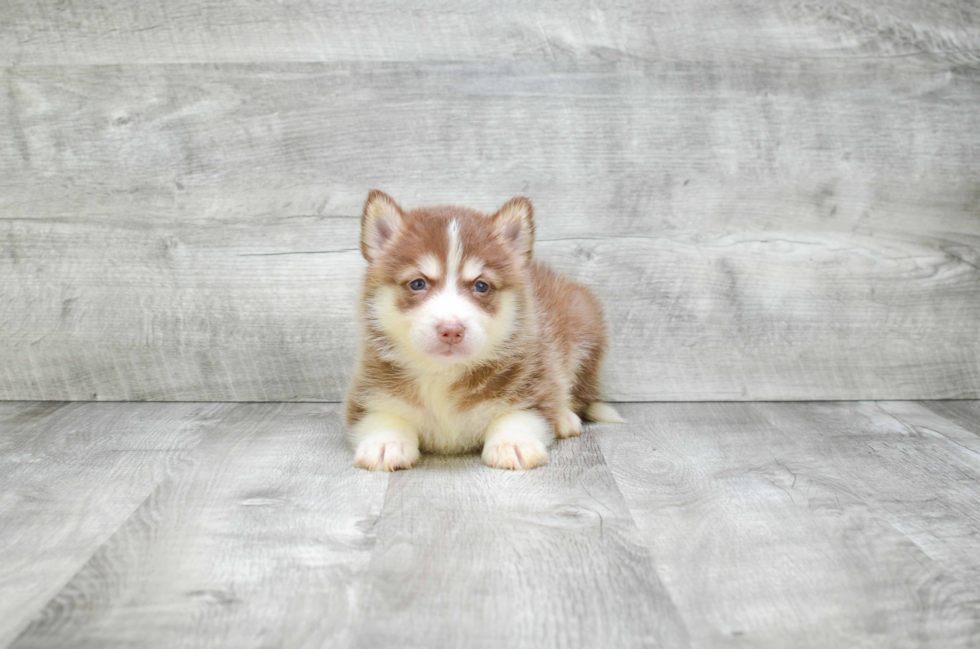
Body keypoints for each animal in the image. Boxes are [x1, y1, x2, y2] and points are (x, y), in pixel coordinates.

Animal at [344, 190, 620, 468]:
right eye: (418, 283)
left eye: (481, 286)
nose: (451, 330)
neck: (443, 374)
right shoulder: (367, 394)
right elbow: (383, 415)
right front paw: (385, 442)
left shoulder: (535, 385)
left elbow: (519, 414)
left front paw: (512, 442)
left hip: (582, 322)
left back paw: (565, 418)